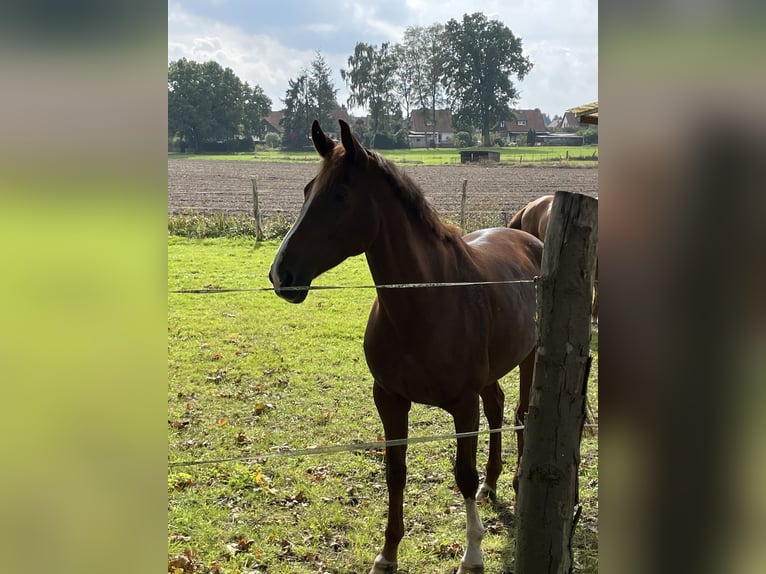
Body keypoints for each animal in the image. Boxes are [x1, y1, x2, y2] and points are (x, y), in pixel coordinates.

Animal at [272, 121, 544, 574]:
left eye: (339, 194)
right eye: (308, 189)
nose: (281, 274)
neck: (425, 301)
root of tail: (529, 238)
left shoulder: (463, 404)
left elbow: (462, 474)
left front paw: (472, 554)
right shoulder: (390, 399)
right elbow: (395, 472)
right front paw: (388, 553)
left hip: (530, 358)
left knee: (521, 414)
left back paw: (517, 482)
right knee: (498, 408)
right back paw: (492, 484)